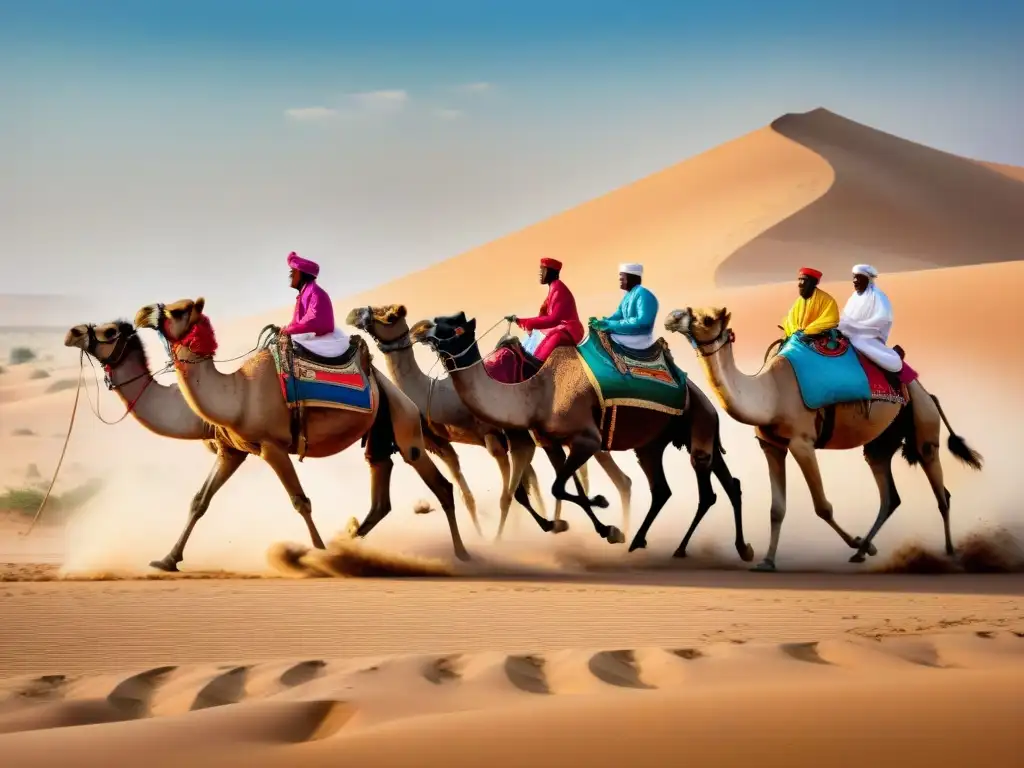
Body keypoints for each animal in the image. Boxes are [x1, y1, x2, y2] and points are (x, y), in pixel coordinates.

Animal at [132, 296, 471, 561]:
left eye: (177, 311)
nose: (141, 313)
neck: (239, 393)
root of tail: (407, 400)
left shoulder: (272, 447)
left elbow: (300, 501)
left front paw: (318, 555)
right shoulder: (233, 451)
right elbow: (200, 500)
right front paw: (167, 559)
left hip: (406, 428)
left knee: (440, 485)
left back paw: (463, 554)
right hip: (380, 428)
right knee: (380, 488)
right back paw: (348, 542)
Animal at [346, 303, 630, 536]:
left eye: (391, 314)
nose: (354, 314)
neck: (445, 396)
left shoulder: (495, 438)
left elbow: (514, 493)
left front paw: (521, 531)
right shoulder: (443, 444)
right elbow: (477, 494)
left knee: (606, 474)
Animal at [411, 309, 757, 561]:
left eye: (449, 325)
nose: (419, 329)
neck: (535, 392)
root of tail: (704, 397)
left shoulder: (586, 440)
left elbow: (560, 487)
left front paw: (603, 519)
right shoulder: (550, 441)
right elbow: (564, 487)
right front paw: (599, 525)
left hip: (700, 427)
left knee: (707, 489)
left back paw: (686, 548)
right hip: (656, 444)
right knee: (680, 488)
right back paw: (649, 542)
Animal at [663, 307, 983, 573]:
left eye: (707, 319)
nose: (672, 316)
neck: (770, 393)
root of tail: (925, 392)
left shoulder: (802, 442)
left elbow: (822, 506)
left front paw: (858, 542)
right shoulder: (771, 446)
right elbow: (776, 508)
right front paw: (767, 561)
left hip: (924, 429)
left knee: (941, 493)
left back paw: (950, 554)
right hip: (881, 444)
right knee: (890, 495)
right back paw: (863, 552)